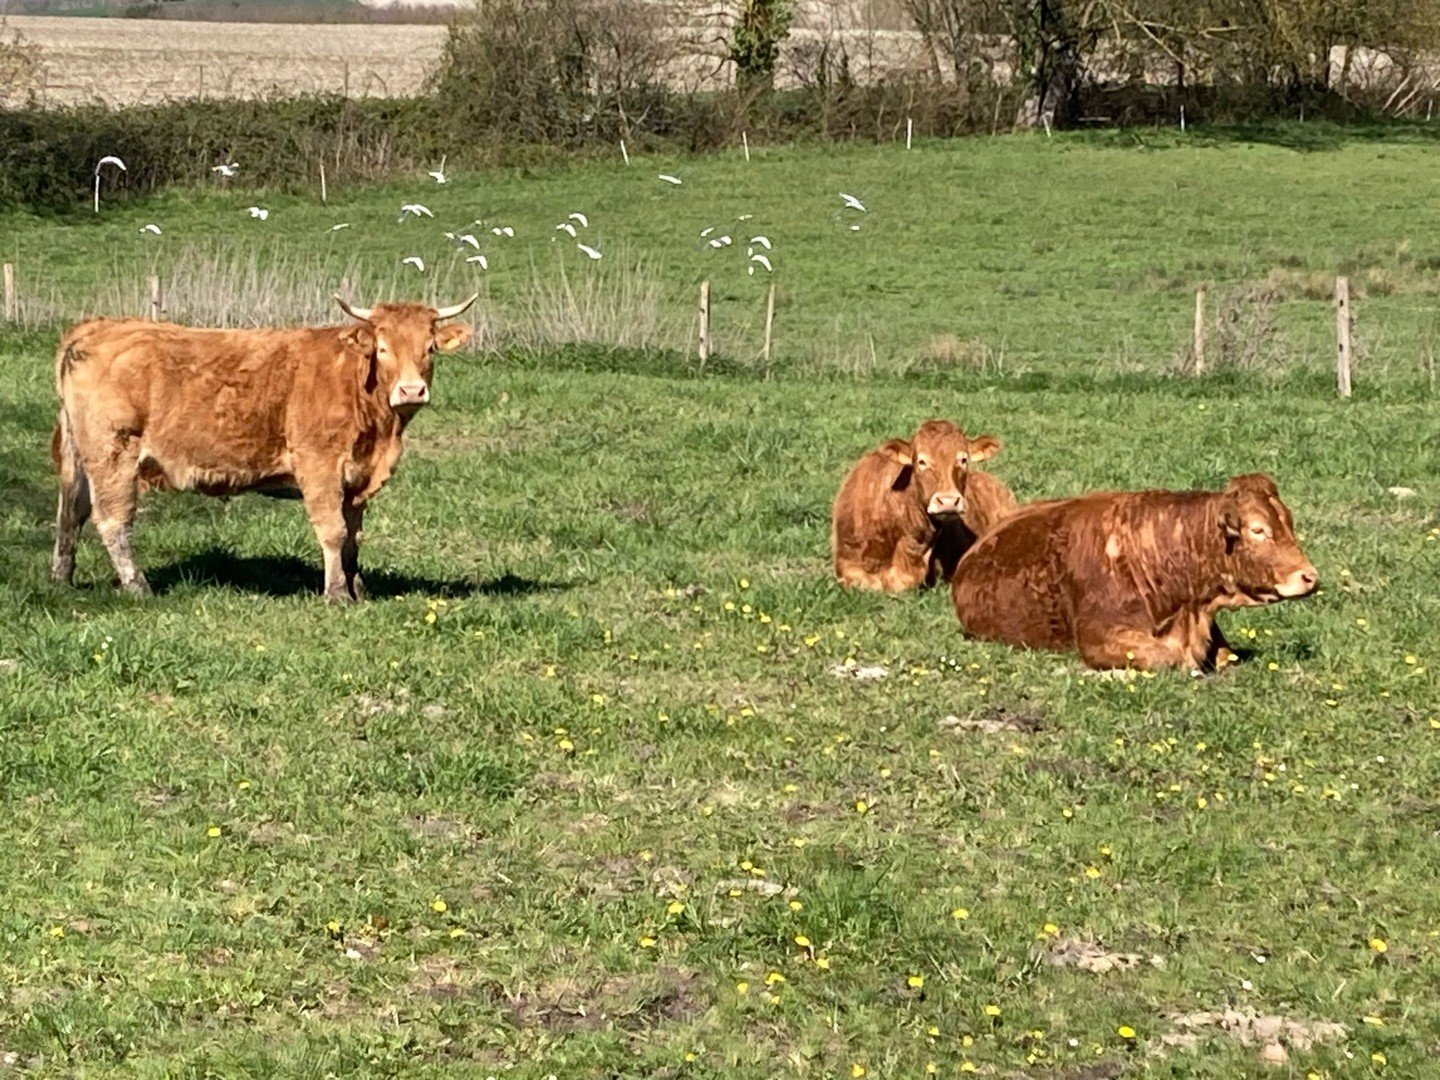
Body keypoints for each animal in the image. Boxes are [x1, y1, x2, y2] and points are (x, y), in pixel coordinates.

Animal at [51, 294, 477, 602]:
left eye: (429, 348)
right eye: (383, 348)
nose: (411, 390)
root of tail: (95, 327)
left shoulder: (357, 479)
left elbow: (354, 536)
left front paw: (359, 588)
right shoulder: (319, 465)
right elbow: (333, 531)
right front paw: (337, 594)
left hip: (81, 458)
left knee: (70, 513)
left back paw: (62, 579)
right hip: (113, 454)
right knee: (112, 521)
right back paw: (138, 586)